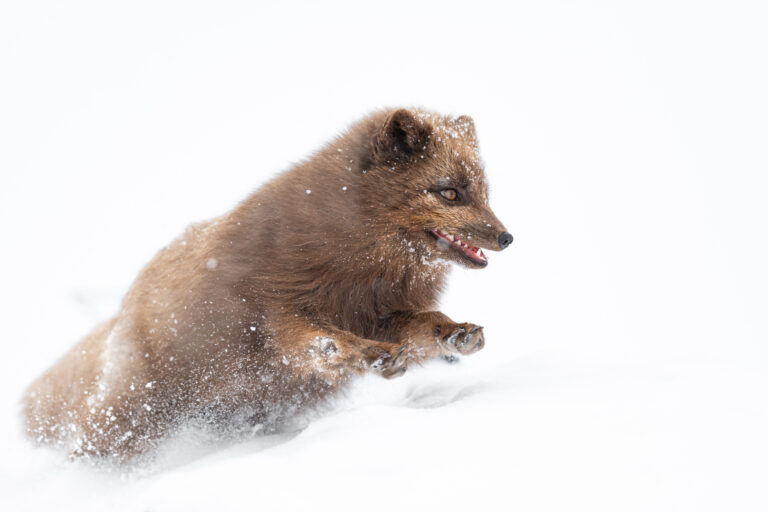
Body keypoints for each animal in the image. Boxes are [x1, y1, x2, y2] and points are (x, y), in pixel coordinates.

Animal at [23, 107, 513, 461]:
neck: (359, 267)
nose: (508, 237)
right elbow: (321, 343)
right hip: (135, 412)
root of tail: (121, 312)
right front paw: (372, 356)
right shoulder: (278, 310)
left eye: (484, 193)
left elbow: (425, 324)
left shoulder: (382, 309)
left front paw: (456, 334)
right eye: (449, 192)